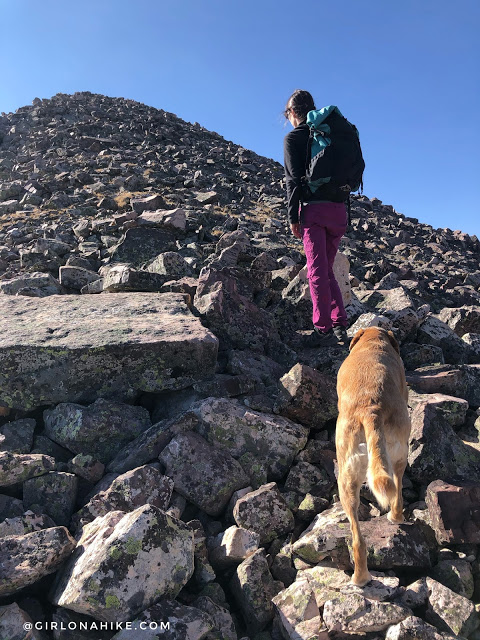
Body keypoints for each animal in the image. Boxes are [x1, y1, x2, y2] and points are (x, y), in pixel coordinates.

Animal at [336, 330, 410, 584]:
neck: (372, 341)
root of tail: (371, 410)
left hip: (347, 475)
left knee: (357, 537)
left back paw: (360, 578)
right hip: (397, 455)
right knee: (397, 490)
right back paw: (396, 517)